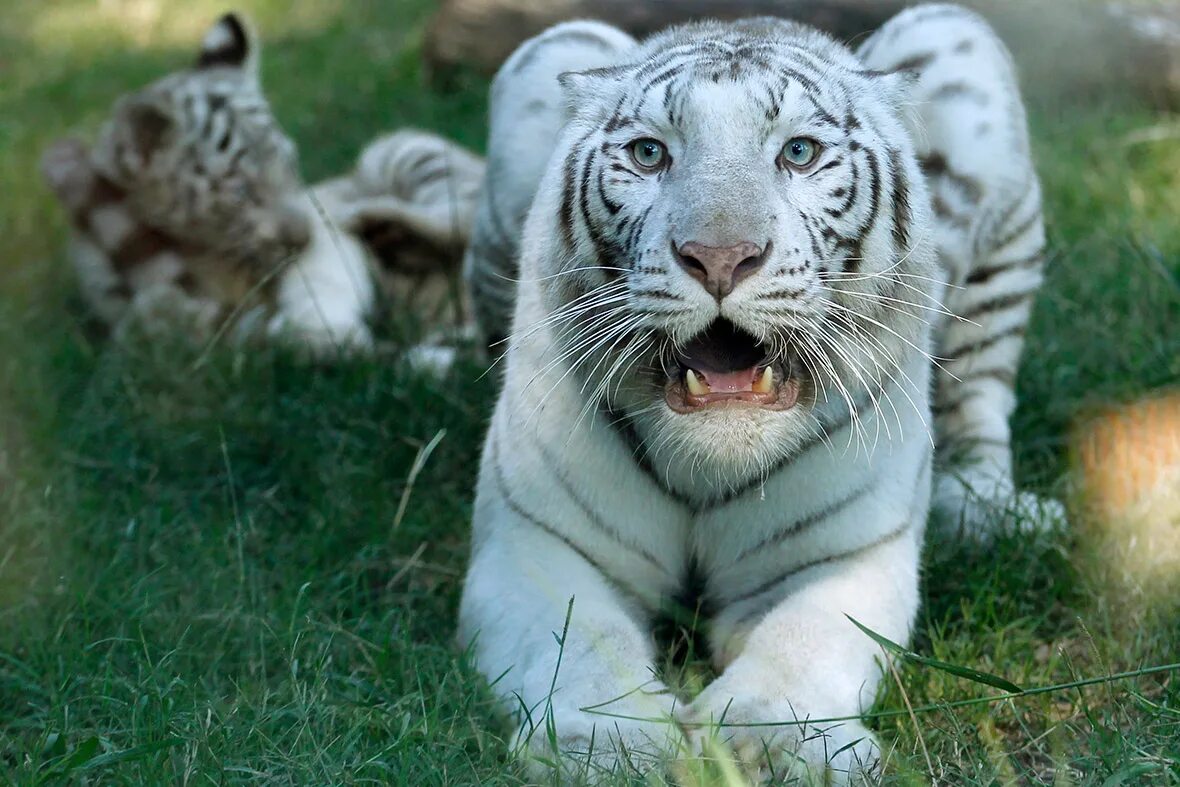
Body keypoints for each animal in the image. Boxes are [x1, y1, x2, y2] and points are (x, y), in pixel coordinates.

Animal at [455, 4, 1057, 783]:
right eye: (649, 154)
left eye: (798, 153)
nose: (719, 258)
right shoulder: (535, 544)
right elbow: (580, 643)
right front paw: (611, 747)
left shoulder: (841, 556)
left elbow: (804, 639)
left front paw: (769, 743)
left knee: (981, 398)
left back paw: (987, 506)